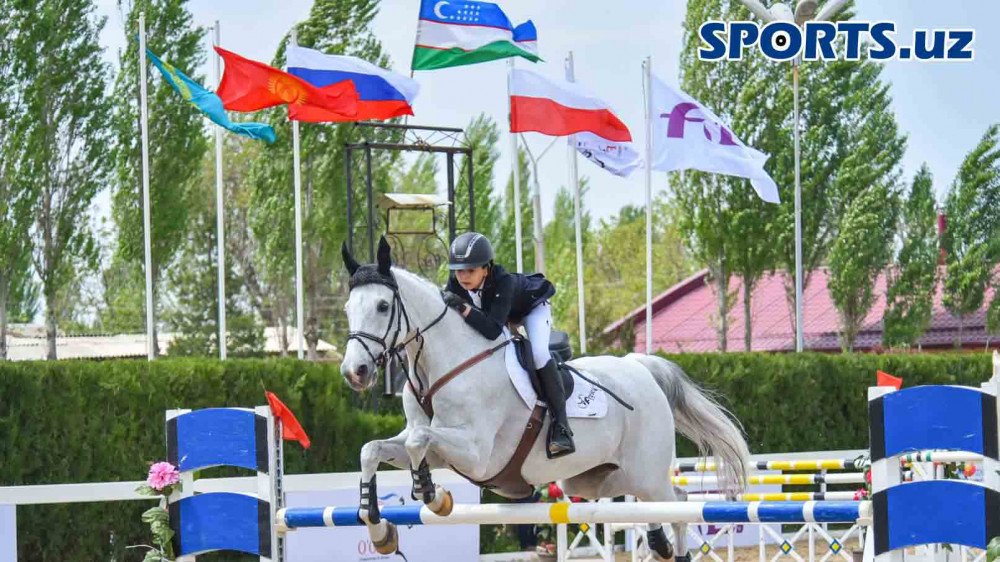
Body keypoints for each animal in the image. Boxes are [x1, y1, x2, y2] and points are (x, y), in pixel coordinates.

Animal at [339, 238, 749, 560]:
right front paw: (380, 529)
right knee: (659, 502)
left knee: (677, 504)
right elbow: (375, 449)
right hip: (591, 481)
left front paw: (433, 496)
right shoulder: (445, 449)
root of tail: (640, 367)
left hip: (645, 472)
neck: (438, 365)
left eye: (382, 307)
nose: (354, 371)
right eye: (347, 308)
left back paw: (666, 547)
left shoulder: (476, 453)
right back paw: (658, 542)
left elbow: (418, 440)